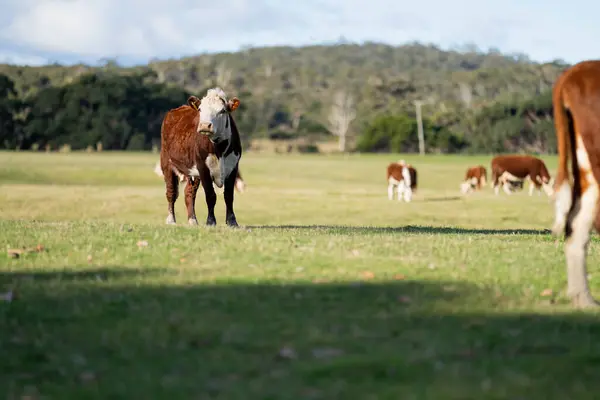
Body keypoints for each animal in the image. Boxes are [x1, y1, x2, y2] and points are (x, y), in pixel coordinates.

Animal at [156, 87, 243, 227]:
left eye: (222, 110)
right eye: (201, 109)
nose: (205, 125)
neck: (219, 149)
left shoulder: (233, 167)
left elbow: (229, 196)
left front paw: (232, 221)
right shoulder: (203, 168)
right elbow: (210, 195)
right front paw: (211, 221)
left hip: (193, 172)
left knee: (189, 193)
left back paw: (192, 220)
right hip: (166, 163)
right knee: (171, 192)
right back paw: (171, 220)